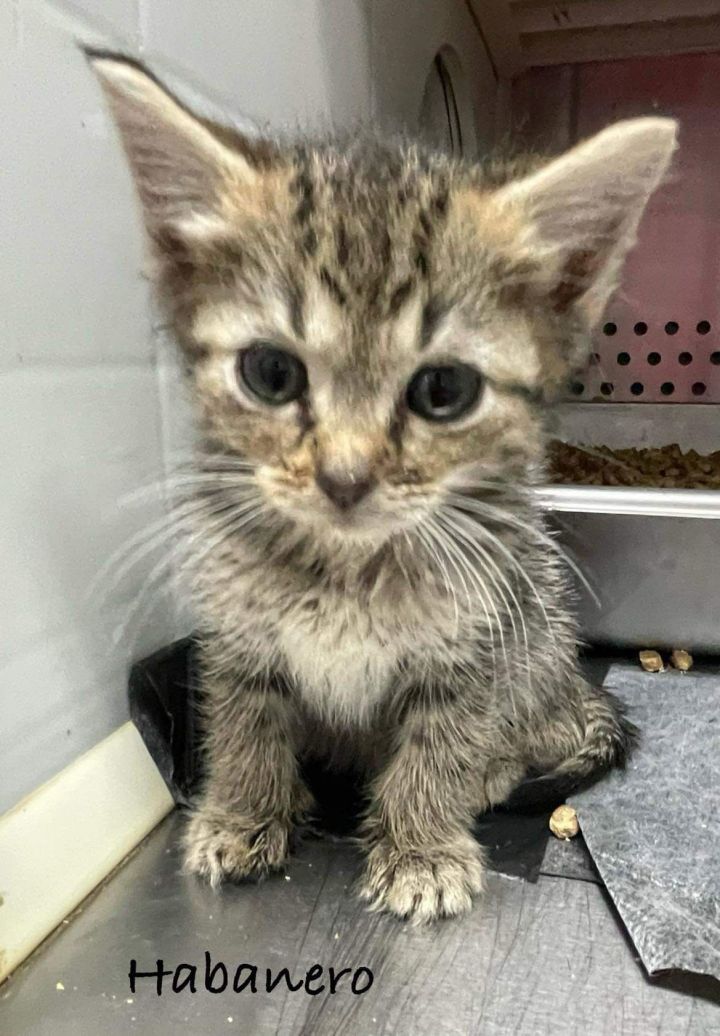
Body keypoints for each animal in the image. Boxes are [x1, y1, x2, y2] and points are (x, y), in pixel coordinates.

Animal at [90, 50, 675, 924]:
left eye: (444, 391)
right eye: (270, 373)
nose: (345, 476)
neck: (346, 568)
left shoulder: (475, 641)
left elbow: (441, 741)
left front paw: (423, 845)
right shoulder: (235, 626)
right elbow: (244, 717)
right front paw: (243, 812)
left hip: (535, 627)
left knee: (540, 728)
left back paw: (495, 770)